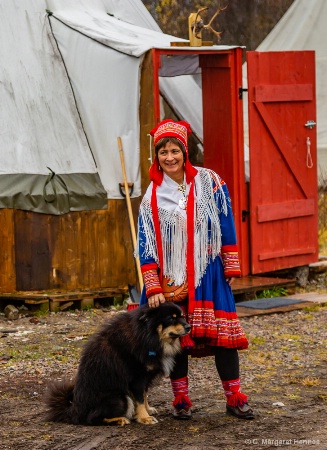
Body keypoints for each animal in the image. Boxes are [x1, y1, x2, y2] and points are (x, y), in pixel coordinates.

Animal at [44, 302, 191, 426]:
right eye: (171, 318)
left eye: (182, 316)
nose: (189, 326)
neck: (148, 335)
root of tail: (74, 411)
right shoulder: (137, 378)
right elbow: (139, 399)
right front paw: (144, 417)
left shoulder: (145, 377)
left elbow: (144, 395)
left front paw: (148, 410)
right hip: (120, 398)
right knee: (92, 418)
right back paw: (120, 419)